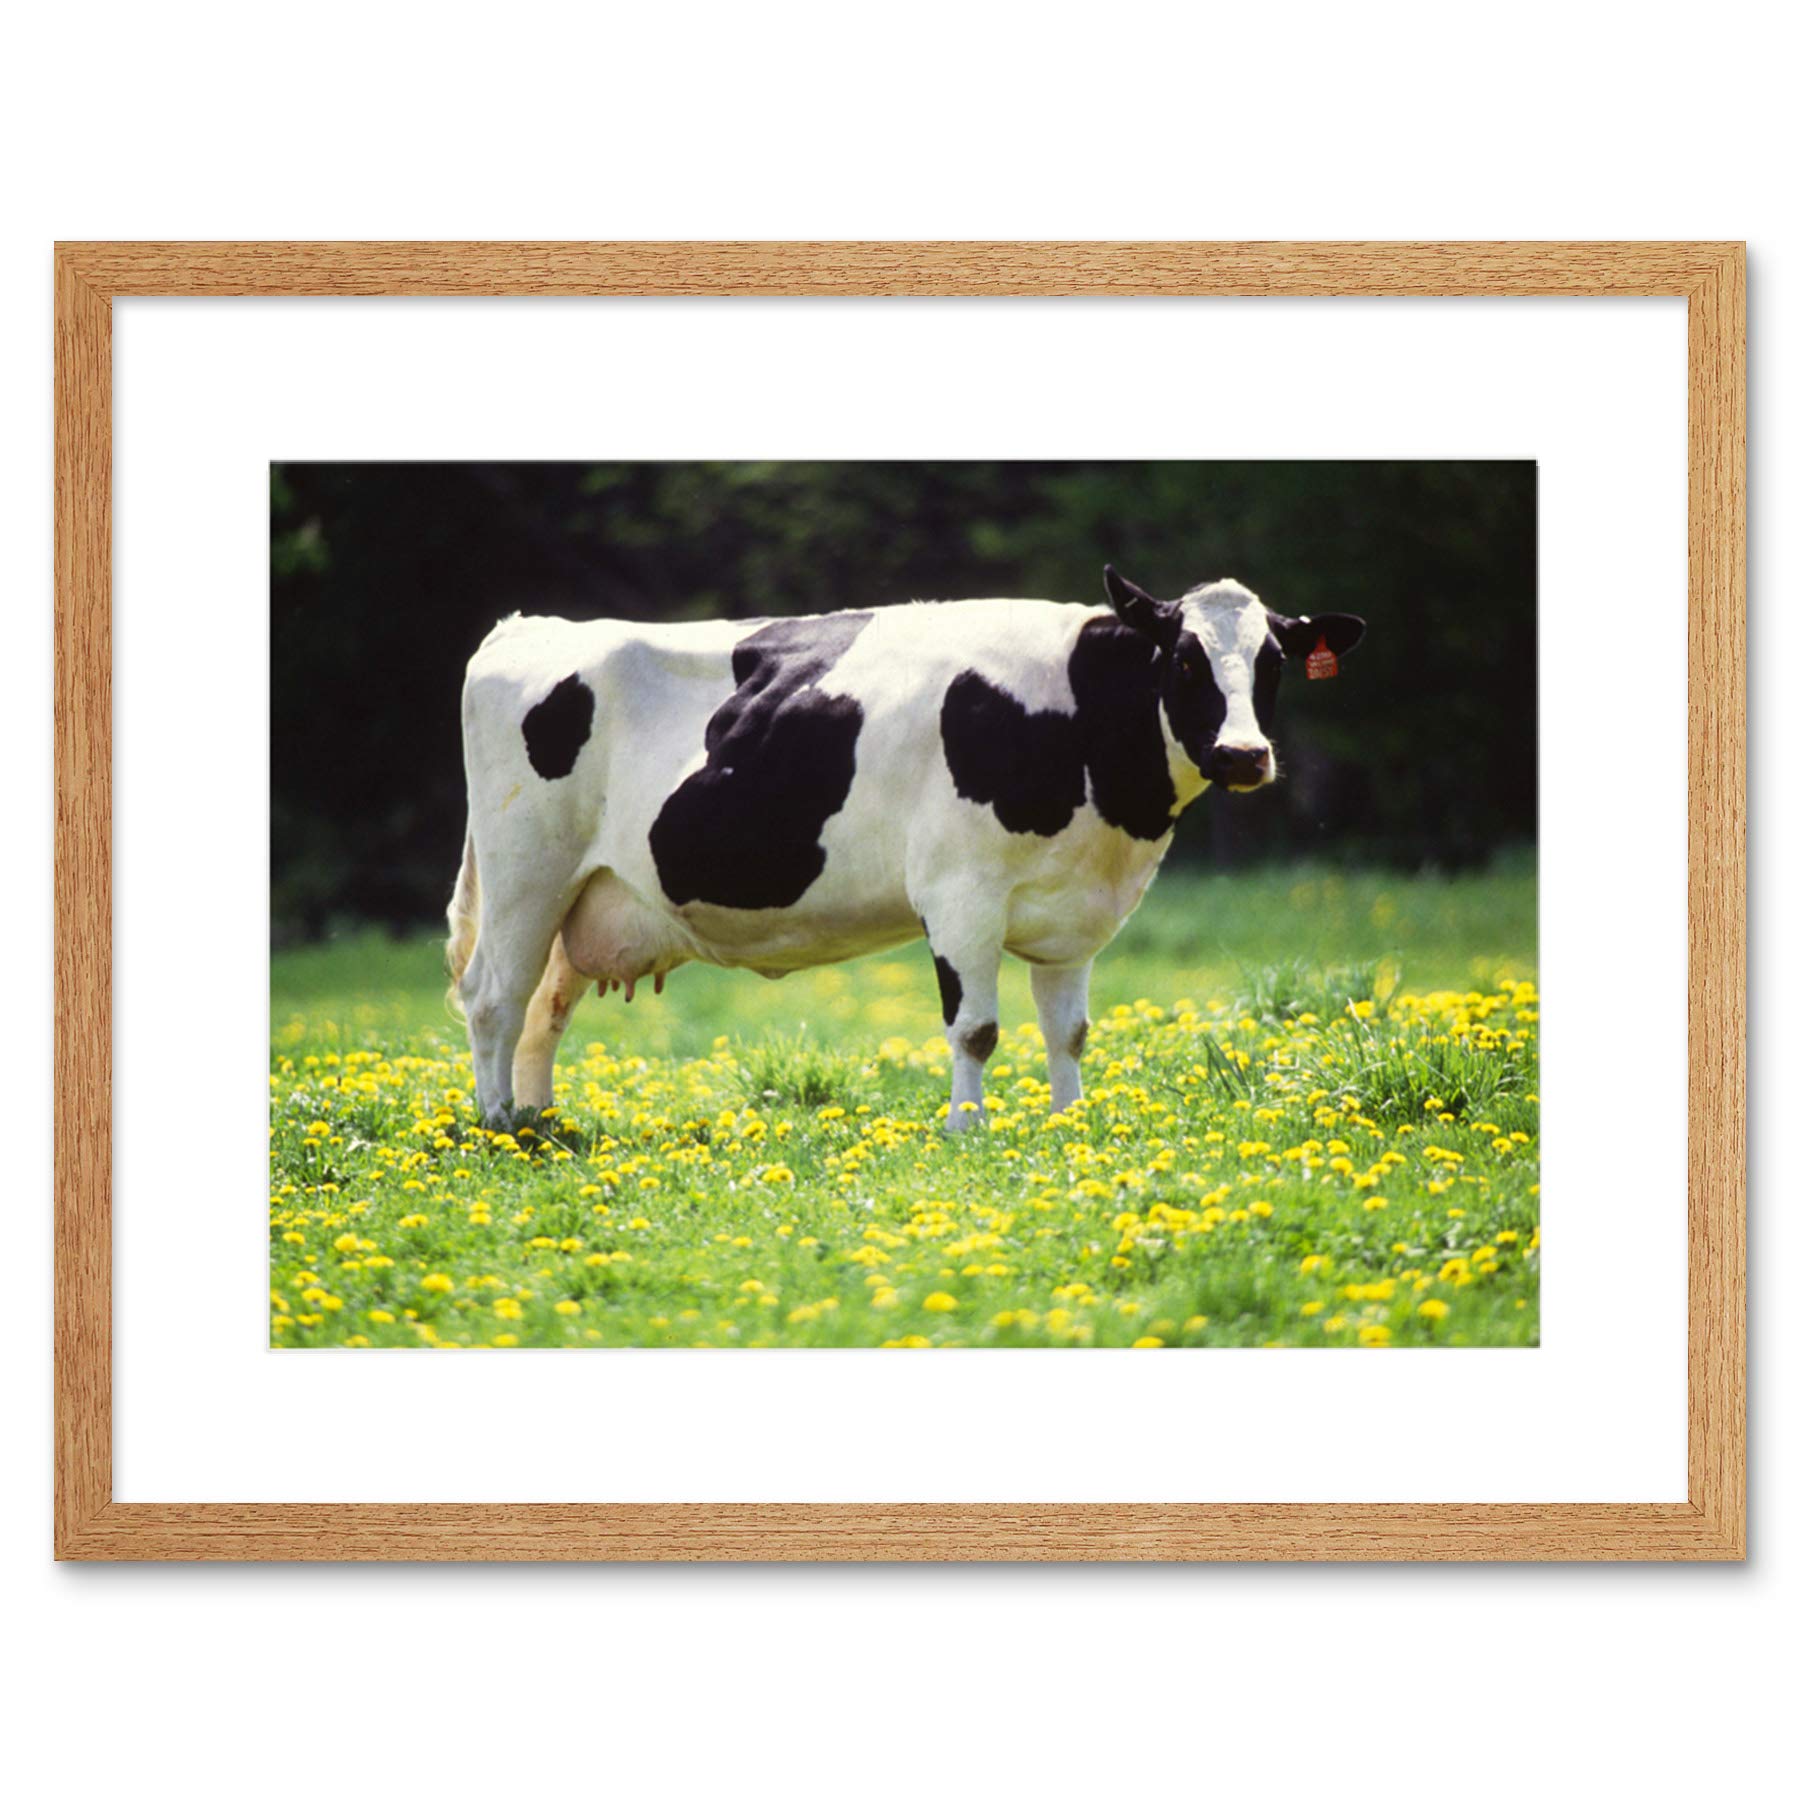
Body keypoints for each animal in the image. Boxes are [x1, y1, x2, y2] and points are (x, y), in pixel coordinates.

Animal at [446, 567, 1365, 1127]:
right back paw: (500, 1127)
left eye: (1274, 661)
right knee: (493, 997)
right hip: (526, 871)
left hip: (584, 894)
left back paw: (540, 1119)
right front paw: (968, 1127)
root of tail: (527, 628)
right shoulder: (960, 895)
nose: (1243, 755)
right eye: (1183, 659)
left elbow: (1068, 1032)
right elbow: (977, 1029)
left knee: (543, 1010)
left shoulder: (1073, 915)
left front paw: (1069, 1122)